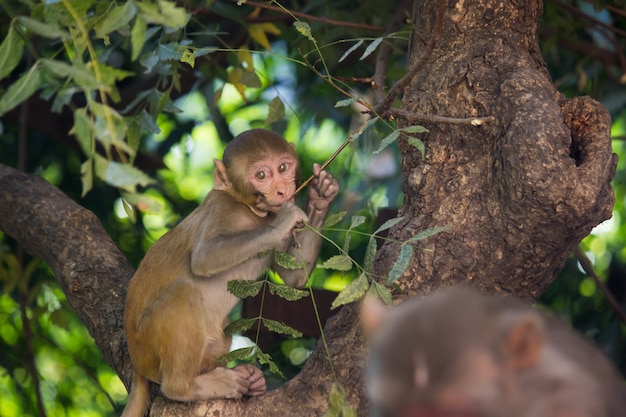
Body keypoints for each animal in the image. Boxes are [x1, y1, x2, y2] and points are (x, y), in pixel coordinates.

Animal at [120, 127, 338, 416]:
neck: (251, 212)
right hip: (148, 348)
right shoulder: (221, 206)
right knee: (182, 292)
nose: (282, 191)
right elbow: (204, 258)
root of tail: (135, 363)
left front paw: (321, 194)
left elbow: (294, 278)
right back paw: (184, 387)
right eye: (261, 175)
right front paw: (282, 223)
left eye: (282, 167)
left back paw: (249, 379)